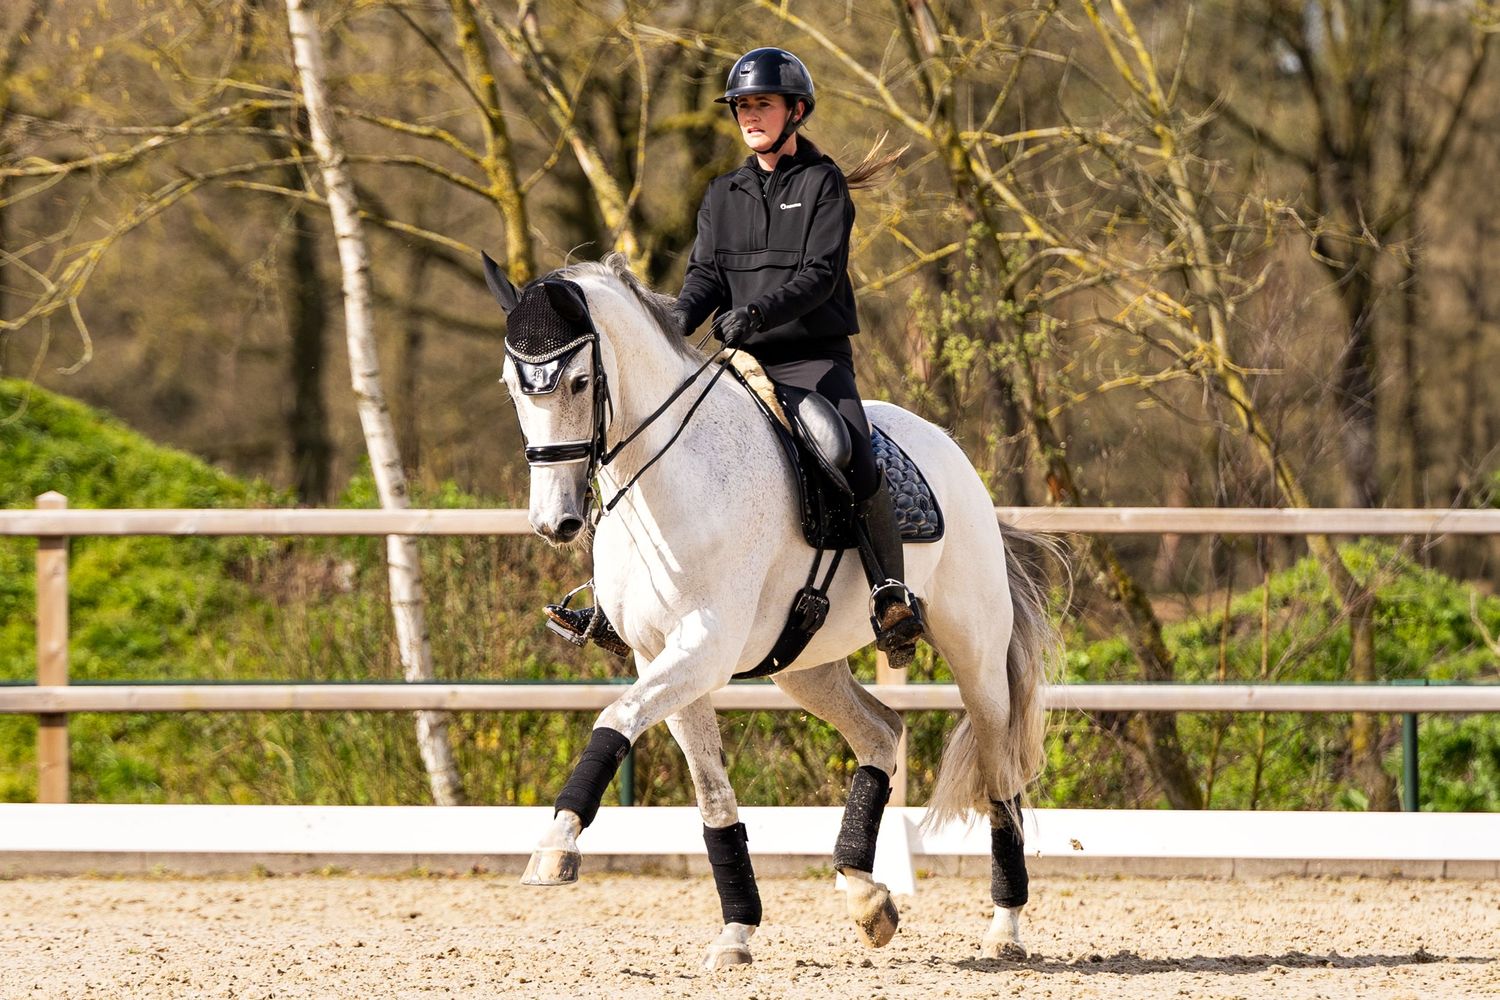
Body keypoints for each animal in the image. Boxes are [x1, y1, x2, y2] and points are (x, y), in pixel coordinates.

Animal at [484, 252, 1060, 969]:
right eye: (513, 388)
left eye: (580, 381)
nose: (554, 522)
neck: (667, 476)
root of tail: (953, 452)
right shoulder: (659, 654)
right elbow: (710, 794)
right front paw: (737, 931)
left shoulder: (703, 649)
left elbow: (615, 718)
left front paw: (555, 848)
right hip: (804, 664)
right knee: (881, 732)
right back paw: (865, 896)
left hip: (974, 654)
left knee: (997, 769)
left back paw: (1005, 928)